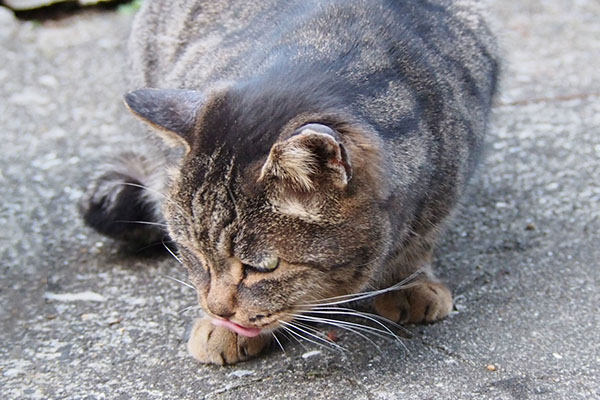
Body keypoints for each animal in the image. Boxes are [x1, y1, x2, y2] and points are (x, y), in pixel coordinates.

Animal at [82, 0, 500, 364]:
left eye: (264, 268)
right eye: (194, 253)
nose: (218, 310)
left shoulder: (449, 177)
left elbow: (420, 238)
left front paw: (409, 281)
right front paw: (222, 328)